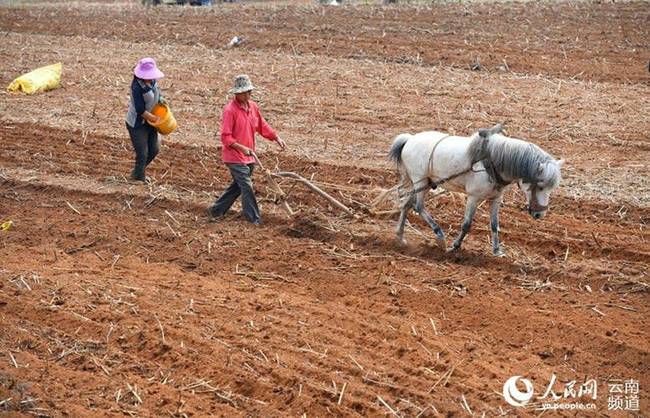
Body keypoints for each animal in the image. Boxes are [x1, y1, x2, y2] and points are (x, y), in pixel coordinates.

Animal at [388, 122, 564, 256]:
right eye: (540, 186)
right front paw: (455, 246)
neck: (491, 161)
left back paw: (400, 237)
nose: (539, 214)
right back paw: (440, 236)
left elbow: (494, 225)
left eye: (551, 188)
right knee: (418, 207)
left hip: (420, 183)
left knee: (406, 205)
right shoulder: (473, 197)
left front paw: (497, 251)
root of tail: (409, 139)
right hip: (420, 180)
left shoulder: (495, 198)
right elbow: (467, 224)